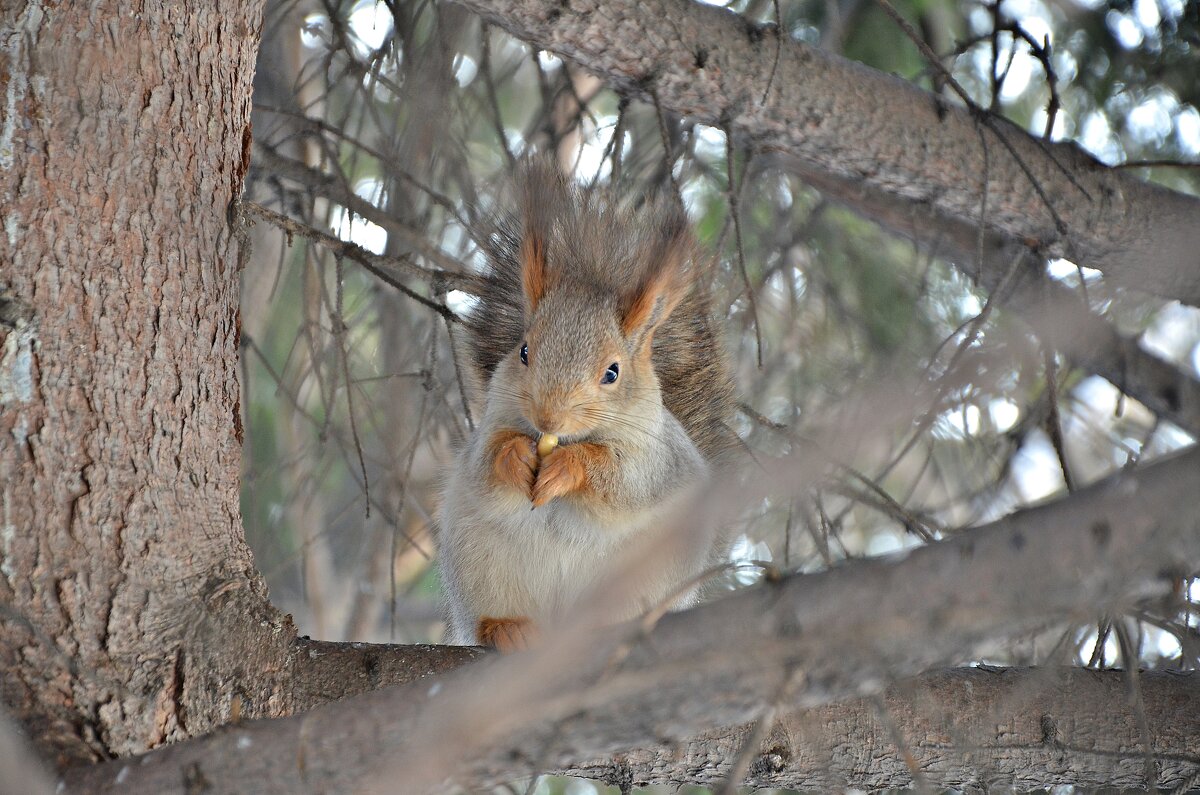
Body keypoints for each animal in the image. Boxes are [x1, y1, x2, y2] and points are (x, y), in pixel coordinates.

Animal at [439, 158, 734, 653]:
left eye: (612, 372)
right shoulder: (491, 425)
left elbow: (622, 481)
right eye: (524, 351)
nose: (547, 418)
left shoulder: (655, 460)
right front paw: (515, 457)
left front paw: (568, 467)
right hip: (479, 561)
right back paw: (507, 629)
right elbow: (485, 464)